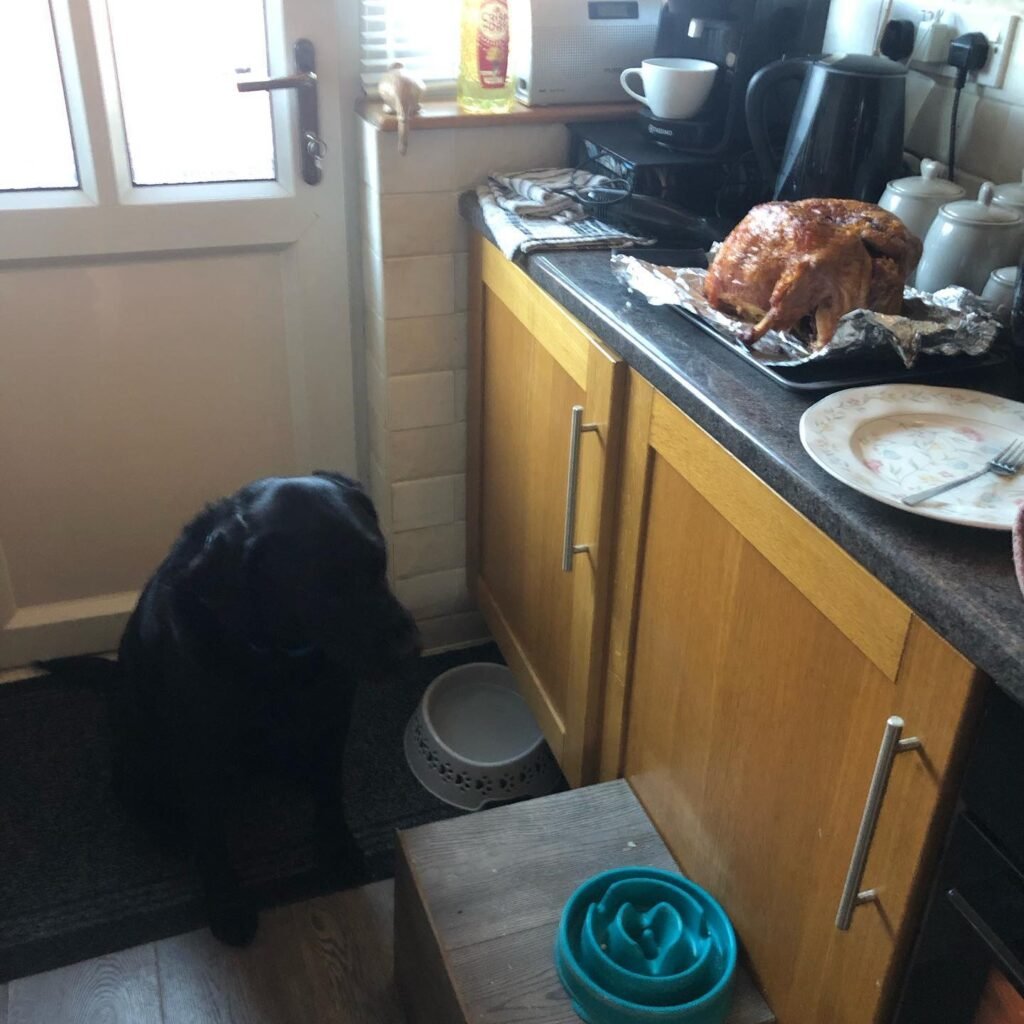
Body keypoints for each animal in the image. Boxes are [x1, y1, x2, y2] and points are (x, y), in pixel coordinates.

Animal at [108, 471, 415, 942]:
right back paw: (169, 830)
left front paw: (338, 848)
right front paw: (226, 902)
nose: (409, 649)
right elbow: (210, 836)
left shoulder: (333, 717)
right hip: (139, 748)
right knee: (129, 794)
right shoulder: (199, 750)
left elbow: (330, 790)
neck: (276, 656)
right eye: (325, 588)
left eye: (379, 561)